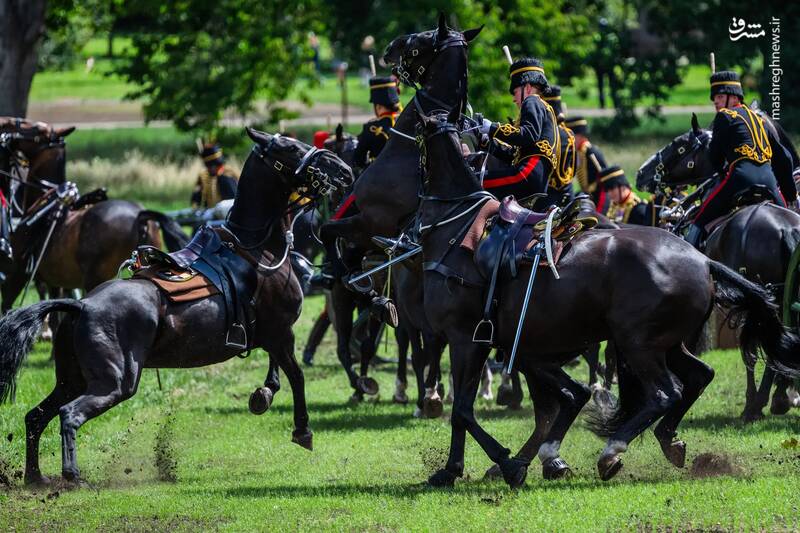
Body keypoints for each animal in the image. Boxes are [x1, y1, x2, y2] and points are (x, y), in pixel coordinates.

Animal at [0, 128, 352, 482]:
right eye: (291, 148)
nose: (343, 168)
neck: (255, 249)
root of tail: (81, 306)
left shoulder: (271, 334)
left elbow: (277, 372)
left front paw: (263, 394)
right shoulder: (280, 332)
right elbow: (296, 376)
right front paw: (302, 430)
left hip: (72, 381)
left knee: (35, 417)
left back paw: (36, 477)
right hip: (113, 383)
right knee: (69, 415)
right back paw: (71, 475)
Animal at [636, 116, 800, 420]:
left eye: (679, 145)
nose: (641, 174)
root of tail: (786, 228)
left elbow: (743, 351)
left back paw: (763, 401)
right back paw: (779, 396)